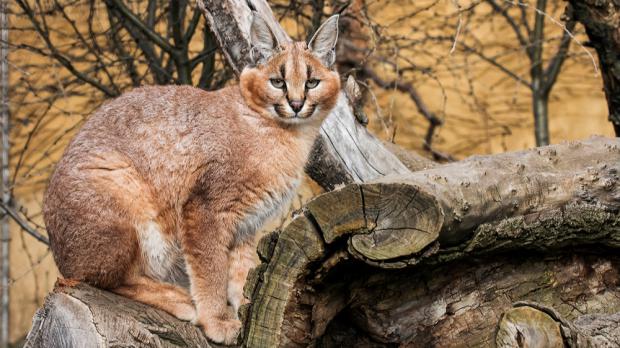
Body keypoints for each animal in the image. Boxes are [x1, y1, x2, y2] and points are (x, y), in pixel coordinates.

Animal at [43, 12, 342, 344]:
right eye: (278, 82)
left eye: (312, 82)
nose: (297, 104)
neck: (288, 134)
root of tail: (58, 250)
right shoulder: (205, 208)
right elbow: (210, 269)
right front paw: (217, 321)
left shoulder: (247, 223)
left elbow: (241, 270)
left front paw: (245, 308)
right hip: (123, 192)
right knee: (103, 279)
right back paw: (179, 300)